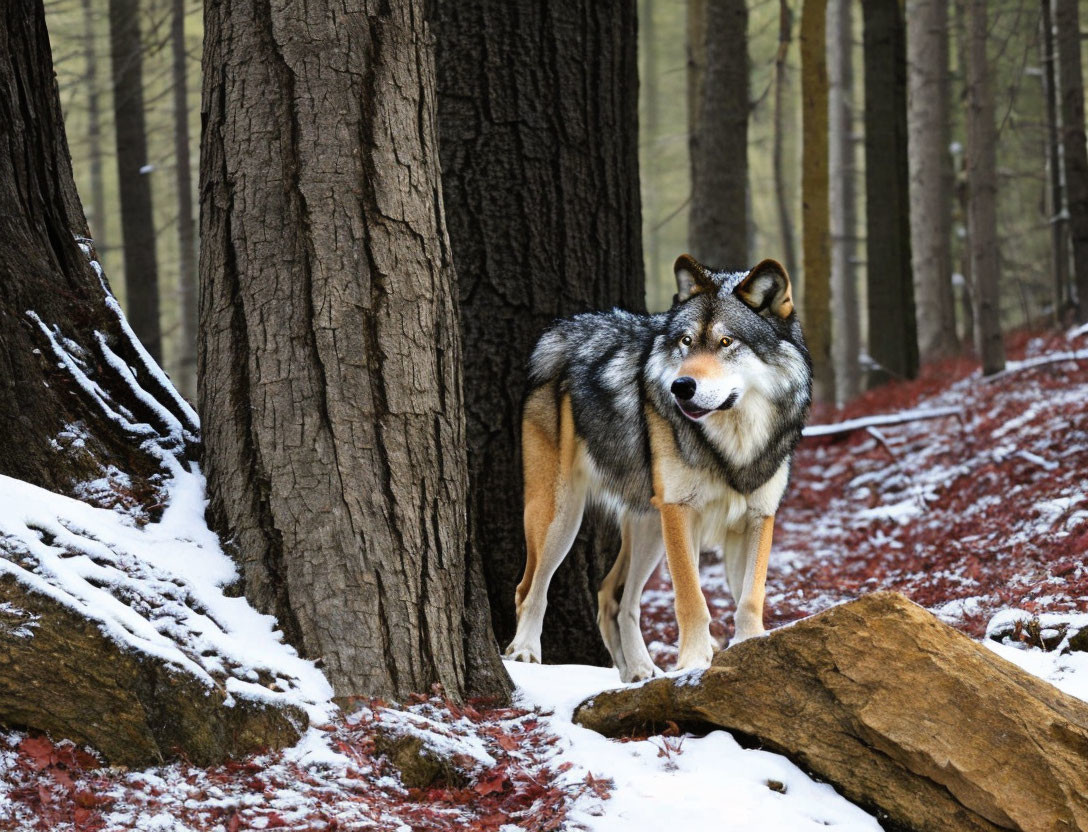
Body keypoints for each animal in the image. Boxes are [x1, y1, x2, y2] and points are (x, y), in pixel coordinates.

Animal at [500, 254, 809, 683]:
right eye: (686, 342)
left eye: (726, 342)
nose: (681, 387)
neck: (733, 445)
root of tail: (563, 332)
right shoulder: (680, 511)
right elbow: (691, 598)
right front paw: (694, 663)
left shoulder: (757, 517)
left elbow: (750, 597)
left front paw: (751, 648)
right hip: (561, 516)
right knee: (529, 588)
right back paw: (525, 653)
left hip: (648, 526)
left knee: (613, 596)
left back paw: (640, 672)